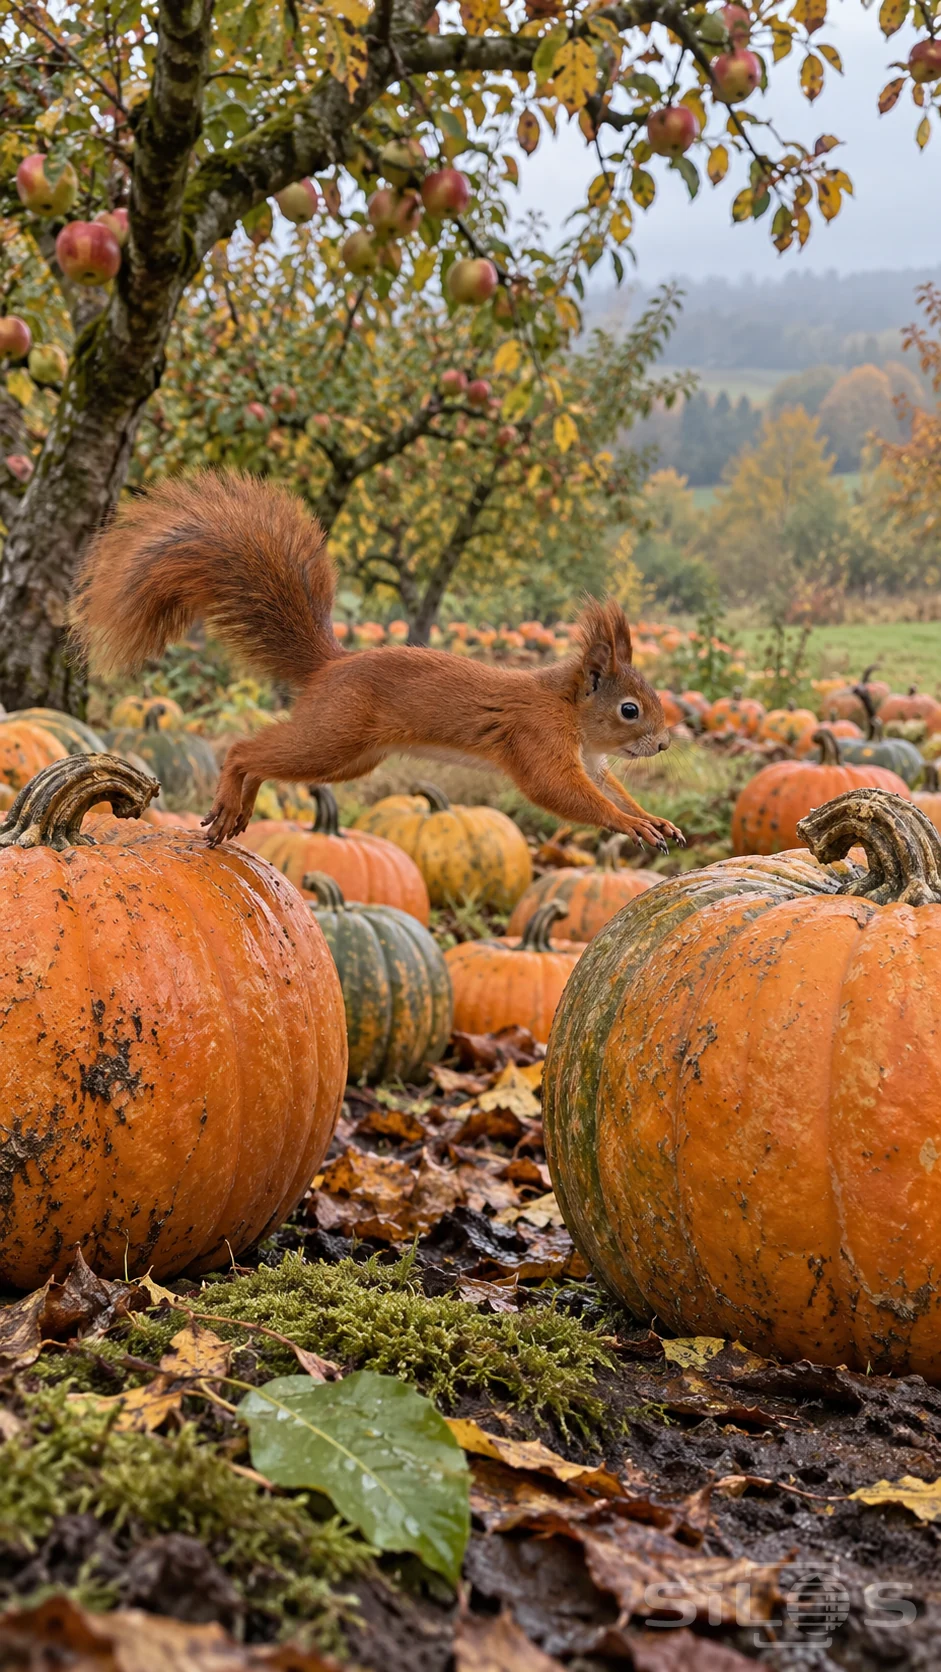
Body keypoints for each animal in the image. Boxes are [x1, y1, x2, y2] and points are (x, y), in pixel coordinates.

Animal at [73, 470, 683, 852]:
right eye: (630, 709)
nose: (664, 745)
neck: (569, 708)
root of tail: (331, 667)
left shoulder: (595, 763)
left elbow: (611, 788)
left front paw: (651, 818)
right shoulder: (536, 737)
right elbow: (561, 792)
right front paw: (627, 824)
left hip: (351, 759)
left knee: (269, 760)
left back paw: (242, 807)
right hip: (334, 735)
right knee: (246, 749)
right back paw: (229, 795)